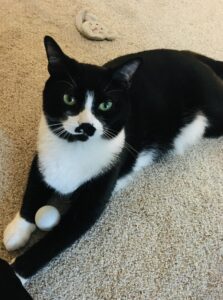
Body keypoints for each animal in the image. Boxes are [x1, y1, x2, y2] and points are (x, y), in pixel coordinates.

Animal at [3, 36, 223, 282]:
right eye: (69, 99)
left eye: (105, 105)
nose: (86, 126)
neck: (75, 149)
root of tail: (189, 55)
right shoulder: (42, 160)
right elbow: (31, 192)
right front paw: (17, 231)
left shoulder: (90, 205)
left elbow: (49, 246)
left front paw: (13, 273)